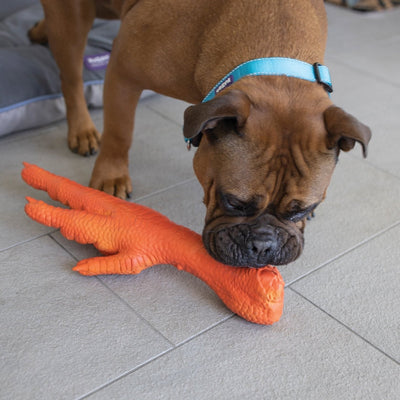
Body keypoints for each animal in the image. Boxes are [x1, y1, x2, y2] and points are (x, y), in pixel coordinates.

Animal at [29, 0, 370, 268]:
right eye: (233, 202)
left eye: (304, 208)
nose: (263, 245)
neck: (274, 56)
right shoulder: (123, 74)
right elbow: (119, 131)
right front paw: (112, 175)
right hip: (73, 19)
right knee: (71, 76)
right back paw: (82, 128)